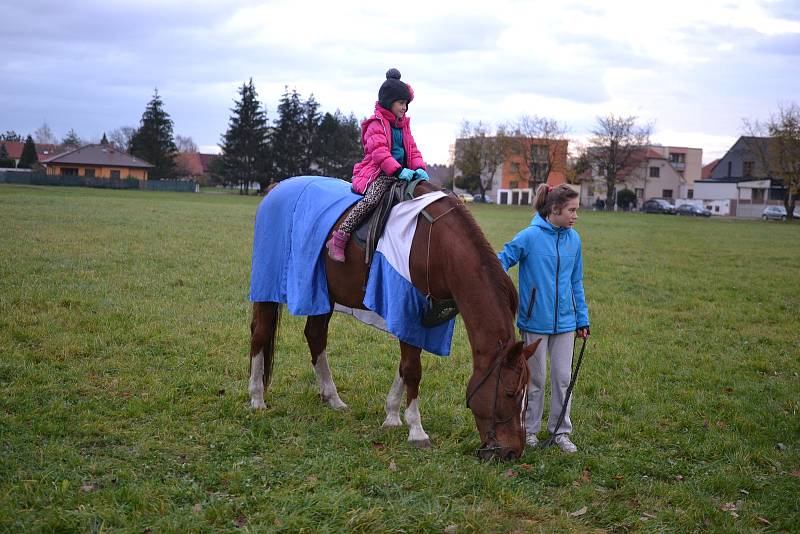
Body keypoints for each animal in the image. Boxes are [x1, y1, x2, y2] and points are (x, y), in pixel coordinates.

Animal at [247, 182, 540, 462]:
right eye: (510, 393)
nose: (513, 452)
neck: (438, 245)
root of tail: (277, 188)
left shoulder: (424, 321)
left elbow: (404, 366)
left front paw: (391, 416)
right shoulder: (406, 307)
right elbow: (412, 369)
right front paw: (417, 430)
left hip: (322, 293)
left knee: (316, 336)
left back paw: (332, 398)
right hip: (269, 285)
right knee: (260, 333)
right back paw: (257, 397)